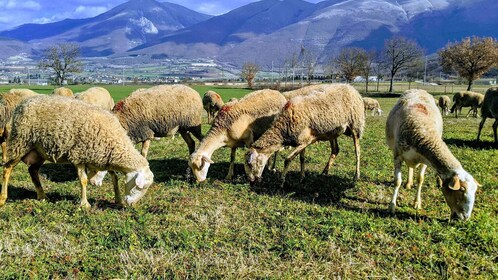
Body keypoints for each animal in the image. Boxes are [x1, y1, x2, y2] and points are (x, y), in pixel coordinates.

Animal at [0, 95, 154, 208]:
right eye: (140, 187)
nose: (131, 205)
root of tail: (24, 103)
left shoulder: (103, 158)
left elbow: (114, 177)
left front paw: (118, 199)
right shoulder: (78, 155)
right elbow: (83, 180)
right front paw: (84, 204)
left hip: (39, 151)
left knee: (32, 170)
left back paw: (42, 195)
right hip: (21, 142)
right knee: (7, 168)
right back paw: (3, 198)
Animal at [386, 89, 478, 221]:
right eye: (461, 190)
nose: (465, 218)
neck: (422, 130)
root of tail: (418, 89)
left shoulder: (425, 161)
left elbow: (420, 179)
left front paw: (417, 203)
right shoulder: (397, 156)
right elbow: (397, 181)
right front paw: (392, 206)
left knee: (411, 167)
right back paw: (408, 183)